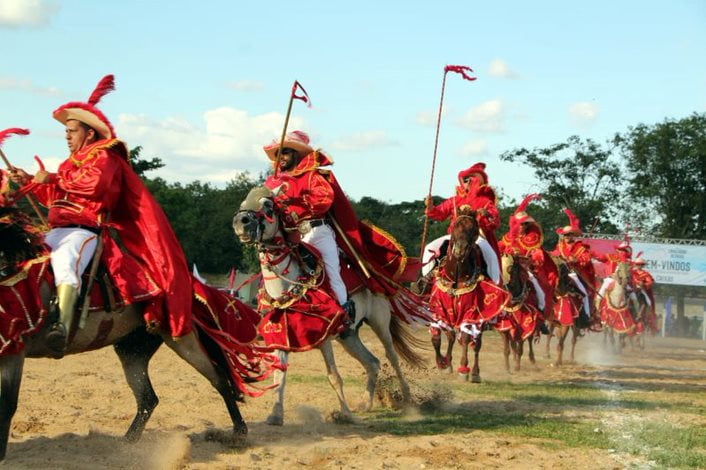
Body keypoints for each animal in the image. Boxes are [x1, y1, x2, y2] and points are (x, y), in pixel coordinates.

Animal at [231, 187, 420, 426]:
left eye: (268, 205)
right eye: (242, 203)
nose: (241, 221)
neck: (287, 289)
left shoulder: (324, 338)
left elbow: (334, 377)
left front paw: (344, 414)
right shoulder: (281, 340)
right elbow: (279, 377)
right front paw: (275, 415)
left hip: (379, 322)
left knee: (392, 356)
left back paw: (409, 401)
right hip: (348, 335)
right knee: (373, 363)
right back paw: (365, 403)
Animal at [424, 208, 506, 382]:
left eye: (474, 230)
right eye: (456, 226)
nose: (460, 249)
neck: (456, 276)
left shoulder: (470, 312)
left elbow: (467, 338)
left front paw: (463, 369)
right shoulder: (439, 309)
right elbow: (437, 338)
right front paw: (442, 363)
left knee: (476, 343)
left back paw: (474, 372)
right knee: (452, 337)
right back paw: (448, 362)